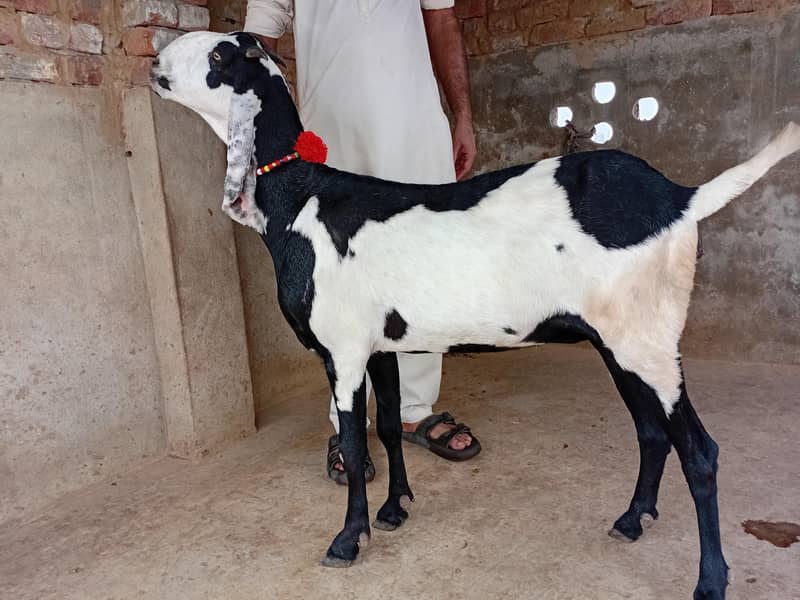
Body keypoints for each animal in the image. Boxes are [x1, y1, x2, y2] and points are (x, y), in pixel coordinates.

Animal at [150, 31, 800, 599]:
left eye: (218, 55)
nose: (154, 61)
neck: (301, 196)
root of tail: (680, 197)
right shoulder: (381, 344)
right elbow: (390, 427)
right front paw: (394, 509)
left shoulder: (343, 350)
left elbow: (355, 446)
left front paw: (348, 538)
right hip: (621, 345)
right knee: (652, 432)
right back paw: (632, 519)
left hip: (646, 341)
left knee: (700, 452)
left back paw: (709, 581)